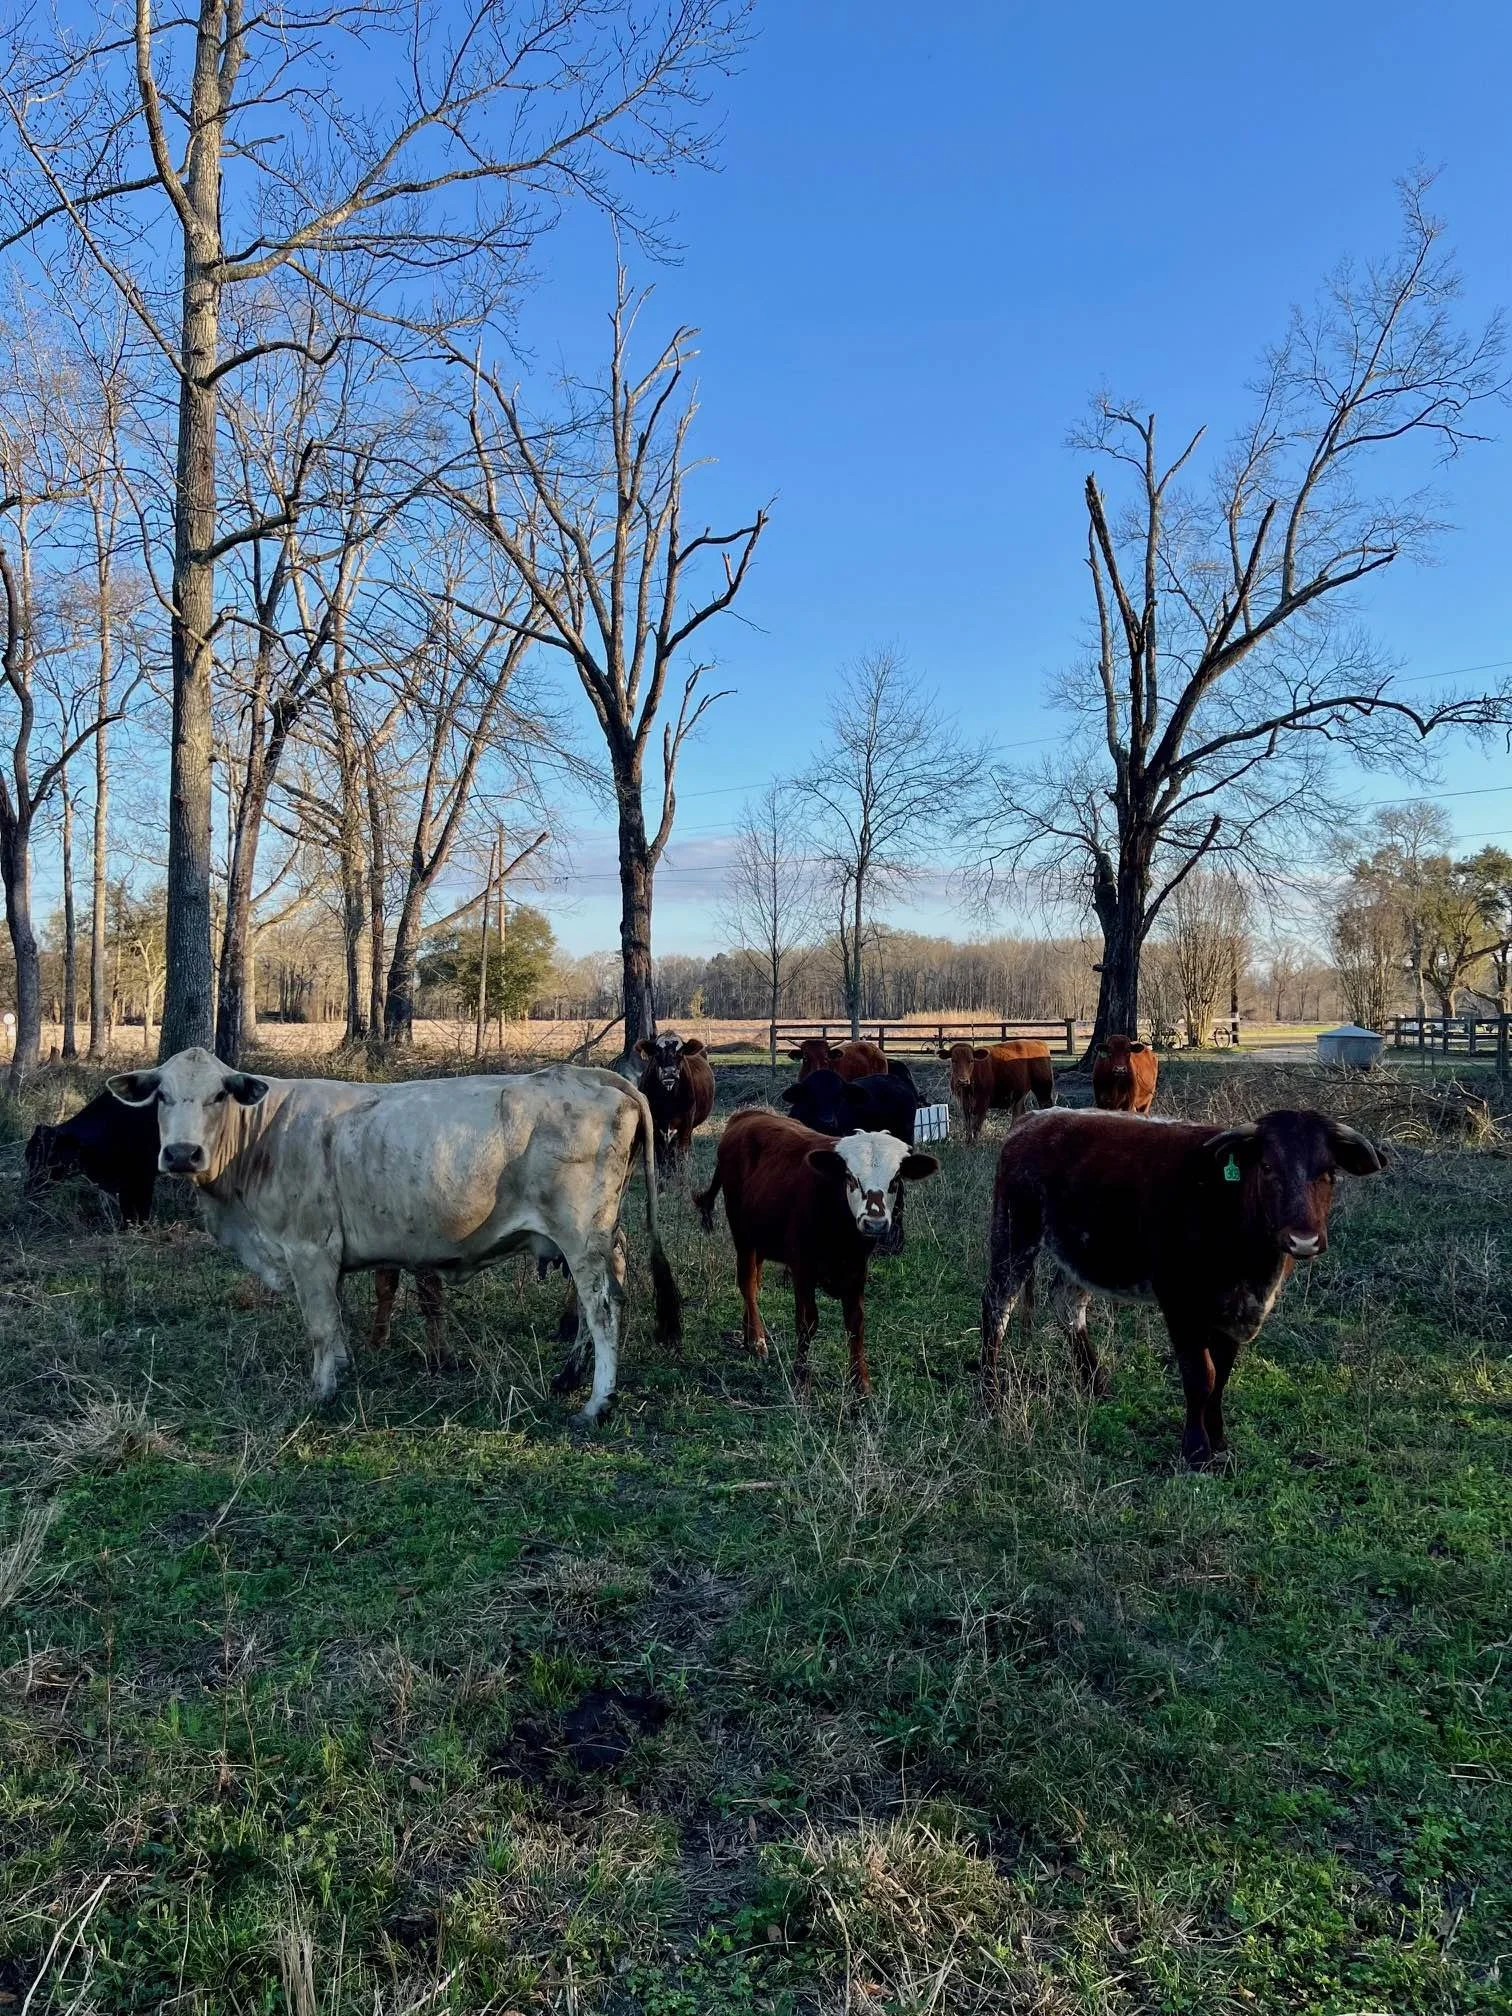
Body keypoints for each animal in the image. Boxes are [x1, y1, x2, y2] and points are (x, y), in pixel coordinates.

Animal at [106, 1049, 680, 1422]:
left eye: (219, 1096)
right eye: (161, 1095)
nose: (182, 1154)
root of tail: (583, 1074)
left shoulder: (308, 1249)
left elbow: (320, 1325)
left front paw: (320, 1393)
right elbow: (337, 1321)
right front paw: (342, 1368)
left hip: (580, 1231)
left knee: (602, 1306)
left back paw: (596, 1402)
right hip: (601, 1233)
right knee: (605, 1288)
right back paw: (570, 1376)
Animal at [635, 1033, 716, 1173]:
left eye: (681, 1052)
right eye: (657, 1052)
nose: (669, 1071)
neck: (668, 1102)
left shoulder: (685, 1124)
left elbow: (680, 1157)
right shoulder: (655, 1128)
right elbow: (662, 1160)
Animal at [693, 1110, 938, 1394]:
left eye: (895, 1179)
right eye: (850, 1177)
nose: (874, 1223)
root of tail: (748, 1114)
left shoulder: (857, 1270)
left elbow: (856, 1323)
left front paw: (861, 1381)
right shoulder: (802, 1268)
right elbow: (807, 1322)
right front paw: (801, 1378)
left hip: (760, 1237)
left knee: (754, 1279)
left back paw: (749, 1333)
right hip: (742, 1233)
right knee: (747, 1283)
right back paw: (756, 1340)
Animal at [979, 1107, 1386, 1466]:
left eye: (1329, 1172)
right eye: (1268, 1167)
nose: (1303, 1239)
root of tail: (1035, 1118)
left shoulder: (1233, 1311)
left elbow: (1221, 1376)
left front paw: (1219, 1439)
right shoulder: (1179, 1302)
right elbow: (1200, 1376)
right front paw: (1196, 1450)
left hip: (1081, 1253)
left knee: (1067, 1305)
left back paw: (1096, 1385)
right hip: (1014, 1234)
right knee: (996, 1308)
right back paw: (990, 1397)